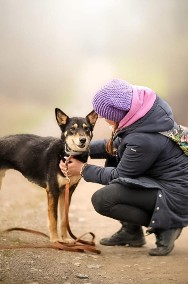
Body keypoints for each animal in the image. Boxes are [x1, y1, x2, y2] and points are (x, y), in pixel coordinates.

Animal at [0, 108, 98, 242]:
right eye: (72, 129)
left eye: (86, 128)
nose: (83, 139)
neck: (68, 155)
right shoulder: (53, 191)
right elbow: (54, 219)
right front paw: (55, 240)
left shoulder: (67, 192)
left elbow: (63, 220)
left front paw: (65, 240)